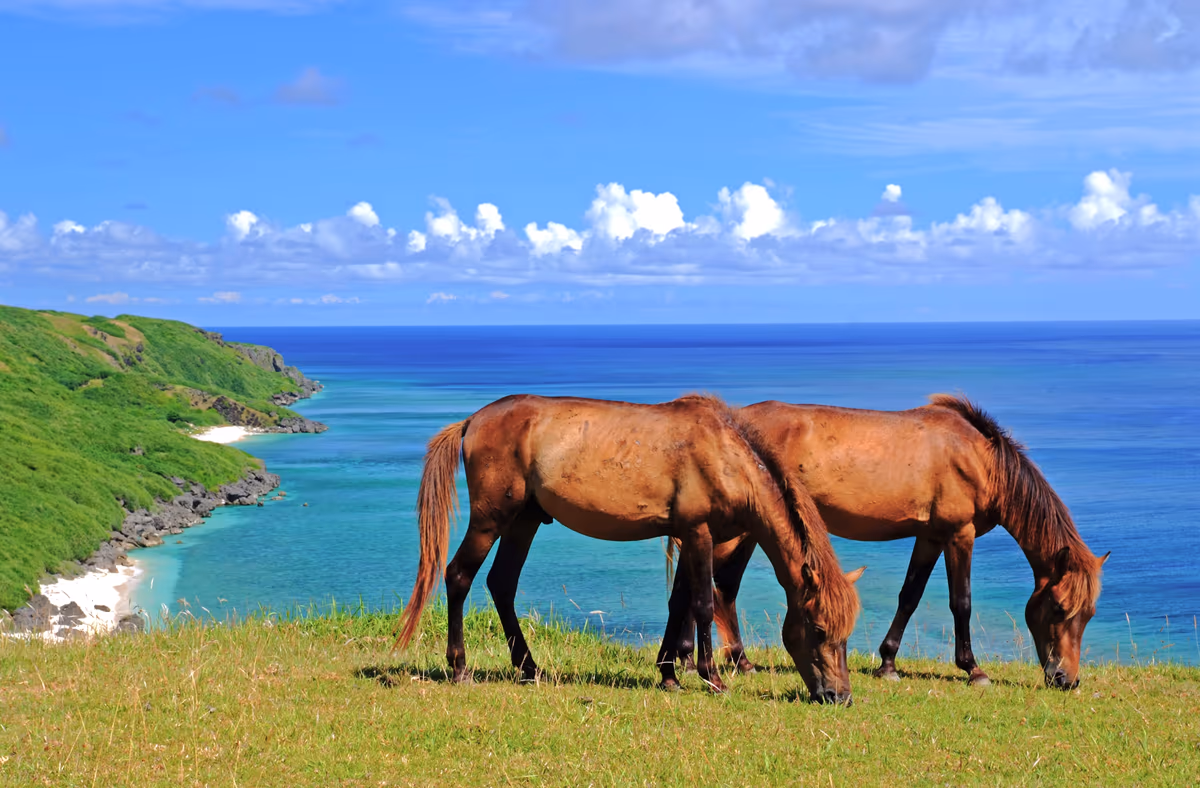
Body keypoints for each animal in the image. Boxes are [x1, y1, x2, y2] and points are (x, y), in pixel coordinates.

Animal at [393, 394, 863, 703]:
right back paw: (460, 668)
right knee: (459, 577)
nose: (838, 695)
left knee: (501, 584)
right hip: (491, 519)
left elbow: (679, 603)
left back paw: (529, 668)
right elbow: (703, 604)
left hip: (524, 521)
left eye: (846, 634)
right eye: (818, 629)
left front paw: (669, 674)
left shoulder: (689, 533)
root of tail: (473, 420)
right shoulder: (699, 532)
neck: (725, 456)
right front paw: (712, 678)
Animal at [667, 394, 1109, 690]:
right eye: (1059, 608)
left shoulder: (930, 535)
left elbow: (910, 596)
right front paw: (973, 669)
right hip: (737, 534)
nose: (1066, 679)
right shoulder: (959, 534)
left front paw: (888, 663)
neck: (979, 459)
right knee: (713, 590)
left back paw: (706, 662)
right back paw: (711, 663)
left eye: (1089, 615)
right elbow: (961, 603)